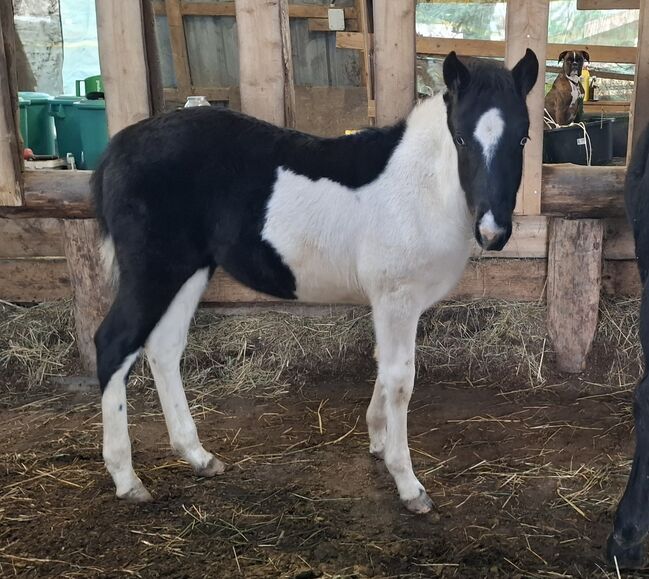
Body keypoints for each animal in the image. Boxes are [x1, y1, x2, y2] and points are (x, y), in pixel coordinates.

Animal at [91, 49, 536, 512]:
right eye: (461, 139)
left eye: (523, 139)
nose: (493, 232)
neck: (422, 185)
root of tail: (118, 147)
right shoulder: (396, 299)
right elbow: (400, 379)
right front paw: (408, 483)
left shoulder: (389, 304)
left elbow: (382, 365)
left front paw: (378, 442)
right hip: (153, 271)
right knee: (114, 344)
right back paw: (127, 479)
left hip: (189, 270)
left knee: (164, 348)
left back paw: (198, 456)